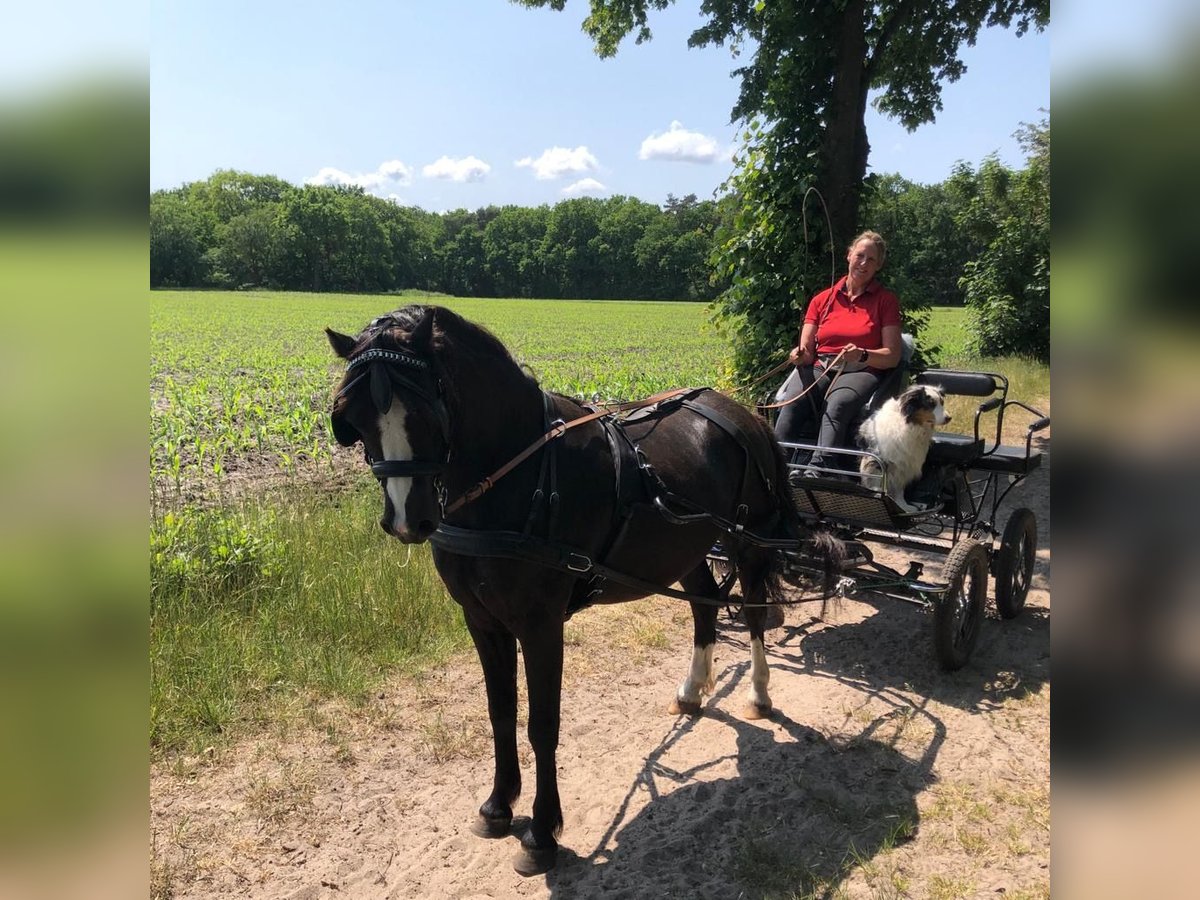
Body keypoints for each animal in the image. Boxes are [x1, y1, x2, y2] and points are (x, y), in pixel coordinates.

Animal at [324, 307, 840, 878]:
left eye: (422, 410)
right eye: (354, 417)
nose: (406, 520)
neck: (521, 475)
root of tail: (744, 412)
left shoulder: (541, 625)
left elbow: (541, 725)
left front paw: (542, 833)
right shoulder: (481, 620)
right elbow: (500, 711)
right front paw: (498, 805)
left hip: (749, 541)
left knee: (751, 614)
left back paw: (759, 693)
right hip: (685, 548)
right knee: (705, 608)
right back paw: (691, 690)